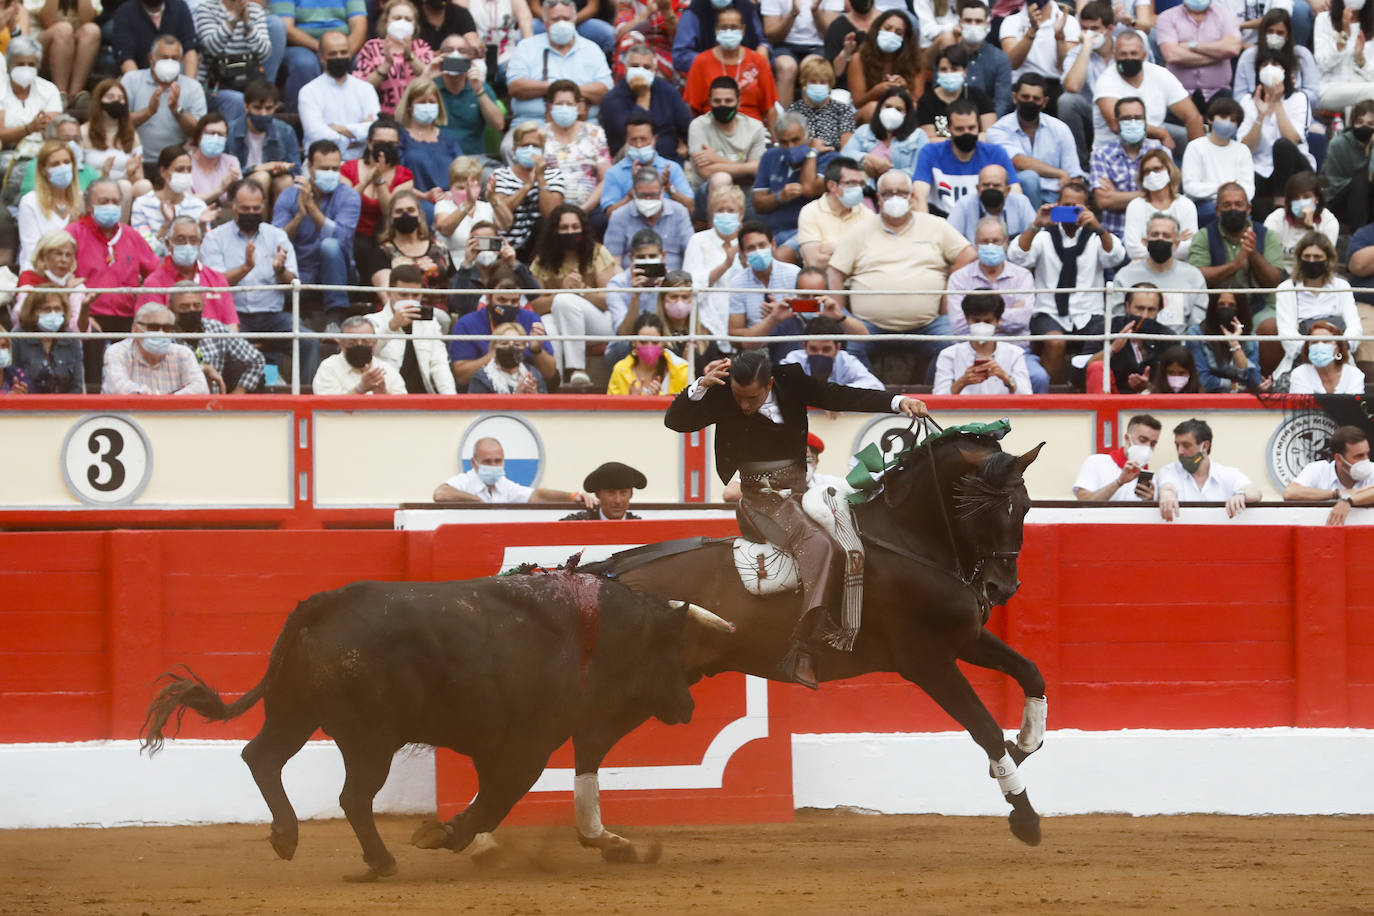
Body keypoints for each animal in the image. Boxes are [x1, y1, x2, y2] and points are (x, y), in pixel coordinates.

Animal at [140, 574, 736, 878]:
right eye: (669, 650)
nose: (687, 706)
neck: (591, 633)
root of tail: (322, 605)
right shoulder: (529, 745)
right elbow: (497, 798)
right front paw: (444, 834)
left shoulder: (498, 743)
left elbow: (492, 795)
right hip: (369, 739)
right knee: (353, 796)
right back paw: (380, 861)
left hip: (296, 713)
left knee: (261, 757)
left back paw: (288, 837)